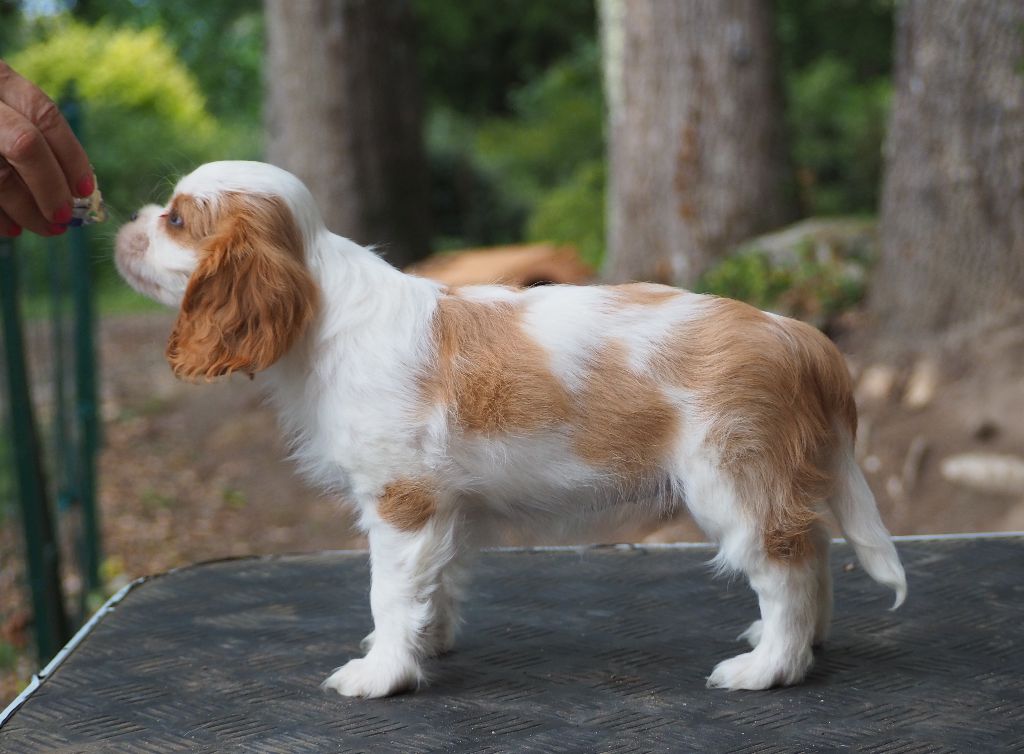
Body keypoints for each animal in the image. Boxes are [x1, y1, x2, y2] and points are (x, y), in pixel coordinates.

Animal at [115, 161, 906, 698]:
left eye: (176, 221)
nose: (124, 228)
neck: (325, 309)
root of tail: (796, 331)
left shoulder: (402, 501)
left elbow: (389, 589)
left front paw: (382, 671)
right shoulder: (446, 506)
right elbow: (436, 583)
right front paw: (425, 645)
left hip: (732, 478)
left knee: (787, 563)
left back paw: (771, 665)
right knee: (813, 548)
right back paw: (803, 644)